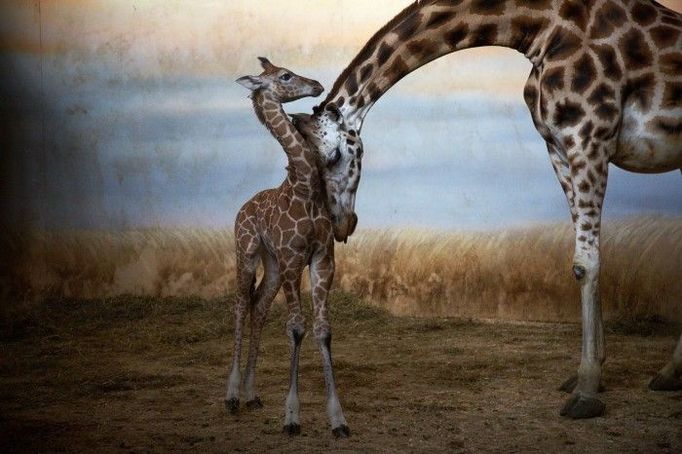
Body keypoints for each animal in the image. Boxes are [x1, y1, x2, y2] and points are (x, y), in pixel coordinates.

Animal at [226, 58, 350, 438]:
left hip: (272, 266)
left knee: (259, 307)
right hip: (247, 253)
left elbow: (323, 330)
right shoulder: (294, 259)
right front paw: (292, 416)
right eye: (285, 75)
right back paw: (232, 395)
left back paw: (251, 394)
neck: (304, 187)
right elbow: (296, 328)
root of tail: (243, 207)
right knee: (240, 305)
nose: (317, 85)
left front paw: (338, 419)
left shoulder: (322, 259)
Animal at [304, 0, 680, 418]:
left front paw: (586, 391)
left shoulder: (589, 138)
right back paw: (670, 374)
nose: (341, 224)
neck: (542, 29)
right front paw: (589, 375)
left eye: (334, 156)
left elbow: (586, 263)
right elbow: (584, 258)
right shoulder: (558, 147)